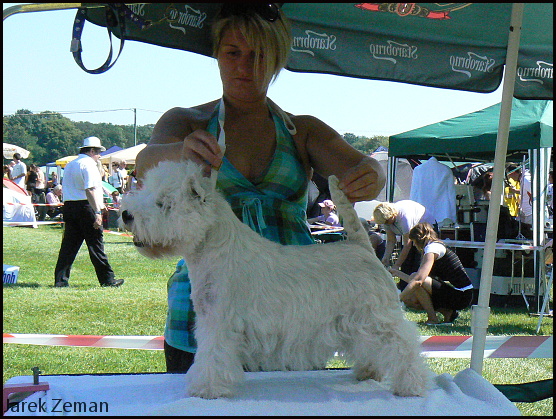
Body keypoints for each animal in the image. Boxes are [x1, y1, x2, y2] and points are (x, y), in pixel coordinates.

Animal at [120, 161, 430, 400]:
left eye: (164, 203)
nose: (126, 214)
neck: (213, 248)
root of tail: (361, 246)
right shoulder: (210, 318)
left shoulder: (219, 323)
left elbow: (212, 357)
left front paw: (206, 389)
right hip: (356, 321)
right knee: (372, 348)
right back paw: (368, 372)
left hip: (376, 315)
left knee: (403, 345)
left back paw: (411, 386)